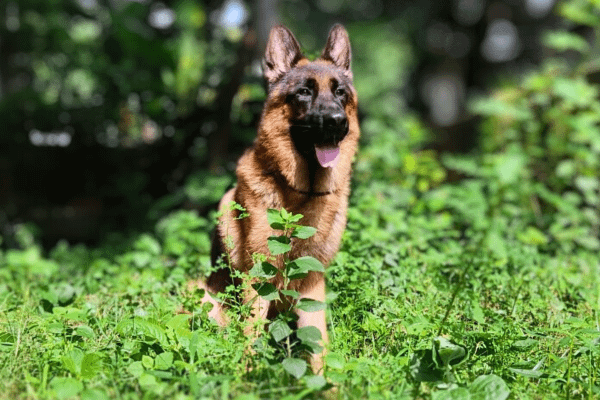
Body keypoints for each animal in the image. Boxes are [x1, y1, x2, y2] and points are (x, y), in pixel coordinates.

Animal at [195, 23, 358, 374]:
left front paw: (326, 383)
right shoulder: (260, 279)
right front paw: (247, 378)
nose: (337, 121)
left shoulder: (312, 285)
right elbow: (251, 337)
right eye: (304, 92)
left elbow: (318, 345)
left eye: (340, 93)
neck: (301, 194)